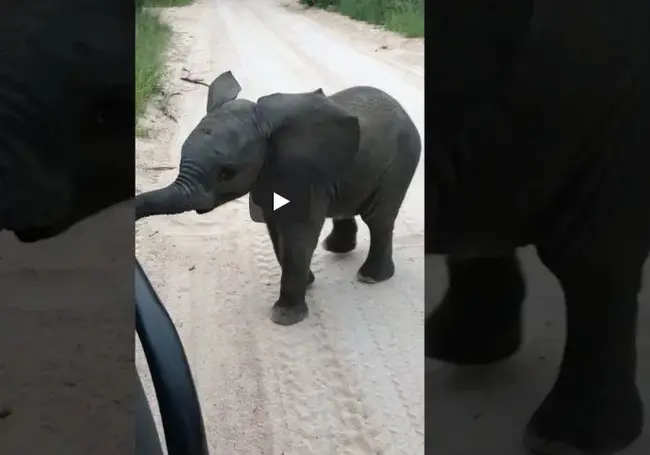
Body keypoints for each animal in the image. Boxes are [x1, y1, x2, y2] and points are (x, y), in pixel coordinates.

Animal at [136, 71, 420, 326]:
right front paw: (308, 283)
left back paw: (371, 278)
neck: (266, 128)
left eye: (226, 173)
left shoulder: (305, 177)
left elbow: (298, 235)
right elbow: (276, 232)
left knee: (378, 219)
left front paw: (284, 317)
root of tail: (402, 109)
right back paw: (337, 249)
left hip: (401, 161)